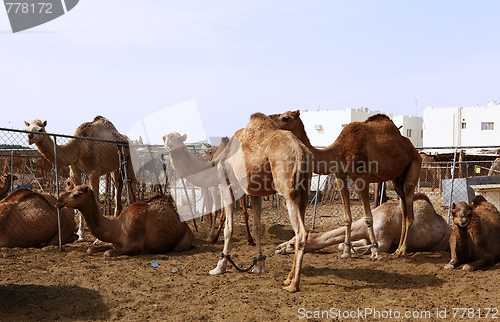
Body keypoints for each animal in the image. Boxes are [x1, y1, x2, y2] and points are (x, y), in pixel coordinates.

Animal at [56, 184, 193, 256]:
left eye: (76, 194)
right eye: (71, 189)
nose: (59, 201)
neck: (118, 227)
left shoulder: (136, 246)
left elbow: (108, 253)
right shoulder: (114, 243)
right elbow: (90, 249)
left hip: (185, 240)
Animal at [164, 113, 312, 292]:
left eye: (178, 138)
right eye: (165, 137)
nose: (168, 144)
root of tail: (300, 151)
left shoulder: (225, 182)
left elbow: (229, 228)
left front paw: (219, 267)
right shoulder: (255, 192)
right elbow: (256, 227)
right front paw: (259, 266)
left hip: (286, 189)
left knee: (301, 233)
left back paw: (293, 284)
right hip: (304, 190)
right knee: (298, 231)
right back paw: (288, 278)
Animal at [270, 110, 422, 260]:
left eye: (285, 118)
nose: (270, 120)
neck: (338, 152)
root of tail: (414, 150)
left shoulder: (362, 179)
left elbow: (368, 218)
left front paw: (375, 253)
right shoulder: (340, 177)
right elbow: (347, 218)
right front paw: (346, 252)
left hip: (414, 163)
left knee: (409, 205)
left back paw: (402, 250)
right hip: (397, 179)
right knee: (403, 210)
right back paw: (397, 249)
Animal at [276, 192, 452, 255]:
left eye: (293, 244)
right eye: (291, 239)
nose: (278, 248)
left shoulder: (383, 243)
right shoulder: (365, 238)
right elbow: (341, 245)